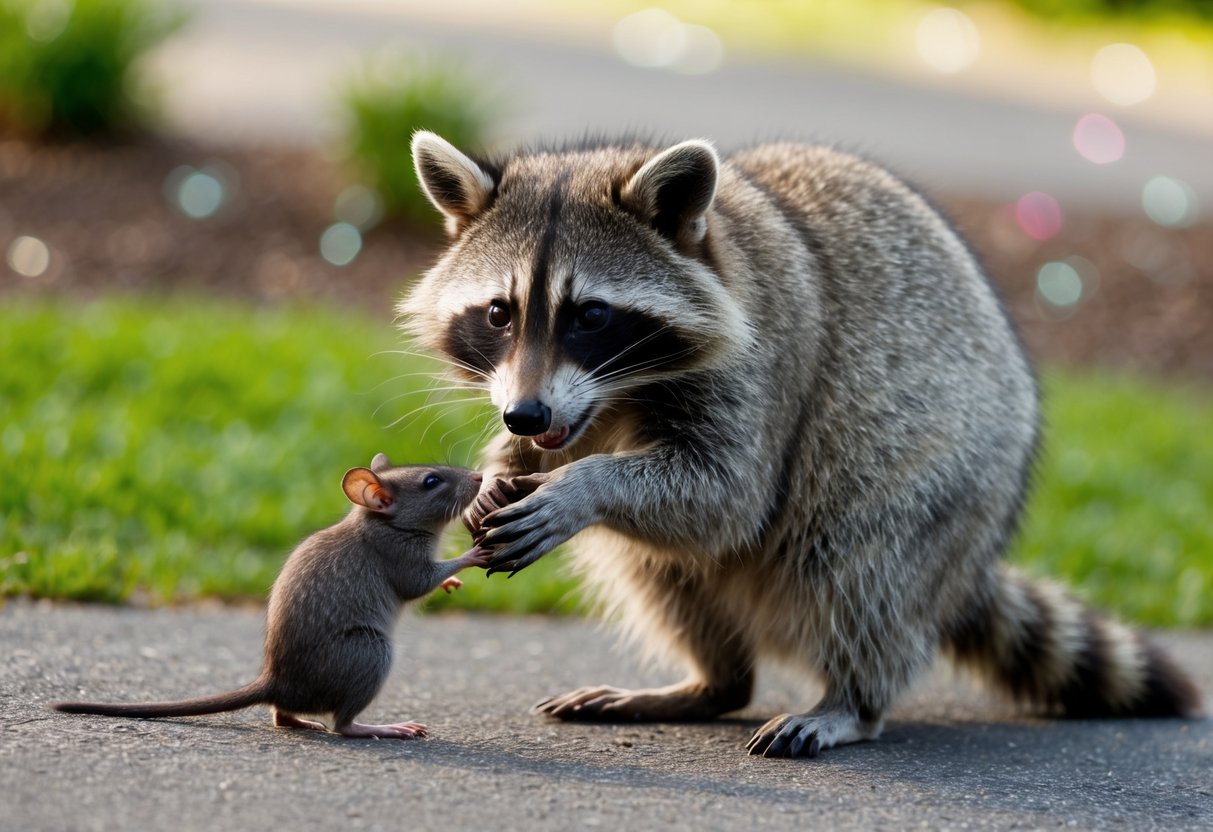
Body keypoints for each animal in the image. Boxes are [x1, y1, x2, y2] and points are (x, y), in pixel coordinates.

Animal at [400, 131, 1200, 757]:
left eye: (590, 315)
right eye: (499, 313)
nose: (523, 416)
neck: (618, 393)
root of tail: (969, 563)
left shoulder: (762, 364)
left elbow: (725, 496)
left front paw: (580, 487)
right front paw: (499, 471)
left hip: (942, 482)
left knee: (857, 567)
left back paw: (852, 700)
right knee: (658, 572)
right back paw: (713, 683)